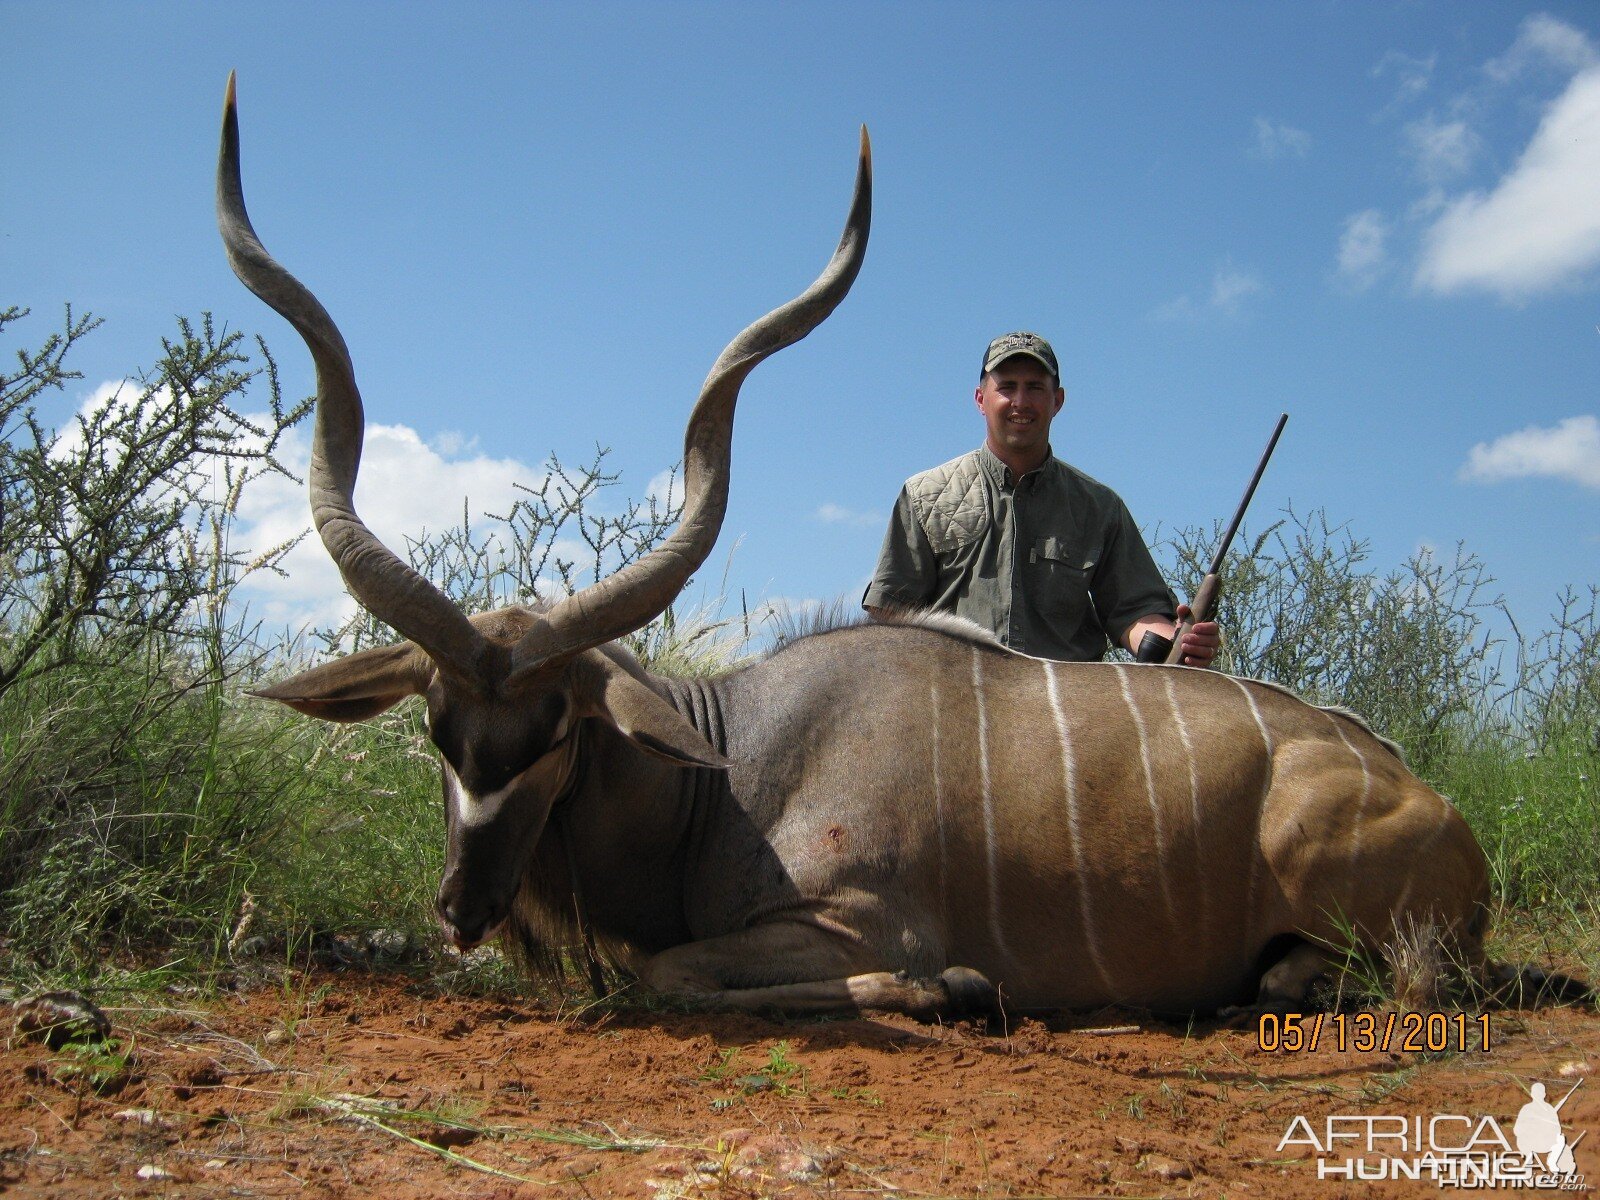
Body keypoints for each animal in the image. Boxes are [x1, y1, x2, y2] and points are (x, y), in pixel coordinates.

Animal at [219, 72, 1491, 1017]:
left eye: (561, 729)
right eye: (437, 726)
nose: (461, 907)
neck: (730, 768)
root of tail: (1430, 803)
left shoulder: (851, 920)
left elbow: (667, 969)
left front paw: (956, 987)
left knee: (1385, 981)